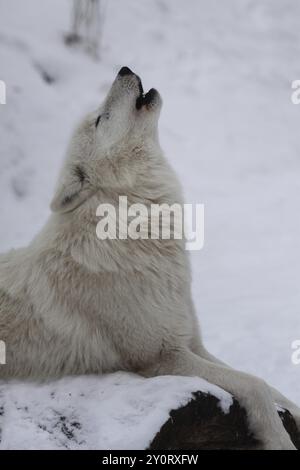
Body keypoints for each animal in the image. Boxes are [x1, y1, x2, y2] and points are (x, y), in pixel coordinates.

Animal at [0, 68, 298, 450]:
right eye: (101, 119)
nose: (124, 69)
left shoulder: (191, 341)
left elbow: (273, 388)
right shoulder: (161, 356)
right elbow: (255, 385)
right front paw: (280, 440)